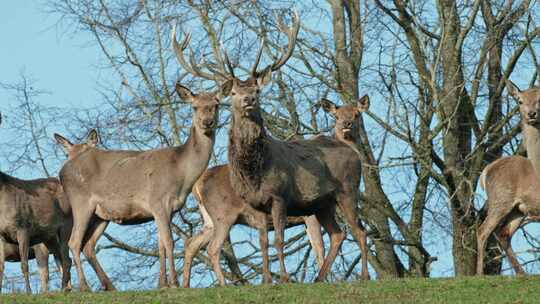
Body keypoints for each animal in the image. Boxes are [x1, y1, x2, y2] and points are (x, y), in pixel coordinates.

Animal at [0, 113, 71, 294]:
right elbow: (1, 268)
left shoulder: (23, 228)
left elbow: (25, 265)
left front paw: (29, 292)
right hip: (49, 237)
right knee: (62, 259)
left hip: (66, 226)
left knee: (66, 259)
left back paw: (64, 289)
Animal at [56, 82, 228, 290]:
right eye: (194, 106)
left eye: (216, 104)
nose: (207, 122)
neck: (181, 173)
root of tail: (62, 172)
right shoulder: (158, 201)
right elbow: (169, 242)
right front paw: (174, 283)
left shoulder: (168, 209)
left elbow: (161, 245)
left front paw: (162, 283)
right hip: (80, 202)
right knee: (74, 242)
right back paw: (85, 287)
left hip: (100, 215)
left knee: (88, 245)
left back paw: (109, 286)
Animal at [181, 163, 324, 286]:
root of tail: (196, 187)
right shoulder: (310, 214)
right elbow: (319, 245)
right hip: (223, 216)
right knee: (213, 247)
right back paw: (223, 284)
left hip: (210, 221)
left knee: (191, 243)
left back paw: (185, 285)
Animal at [216, 11, 372, 282]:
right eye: (233, 92)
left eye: (257, 90)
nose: (249, 99)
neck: (254, 172)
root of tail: (353, 153)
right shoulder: (256, 204)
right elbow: (264, 243)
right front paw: (266, 281)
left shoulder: (280, 196)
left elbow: (278, 240)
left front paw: (284, 278)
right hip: (322, 204)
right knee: (338, 233)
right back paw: (319, 278)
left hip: (348, 190)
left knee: (360, 232)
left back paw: (363, 277)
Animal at [478, 79, 540, 274]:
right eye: (519, 101)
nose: (531, 114)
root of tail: (485, 171)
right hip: (500, 199)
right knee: (483, 231)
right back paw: (479, 273)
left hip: (517, 210)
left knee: (503, 233)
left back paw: (522, 273)